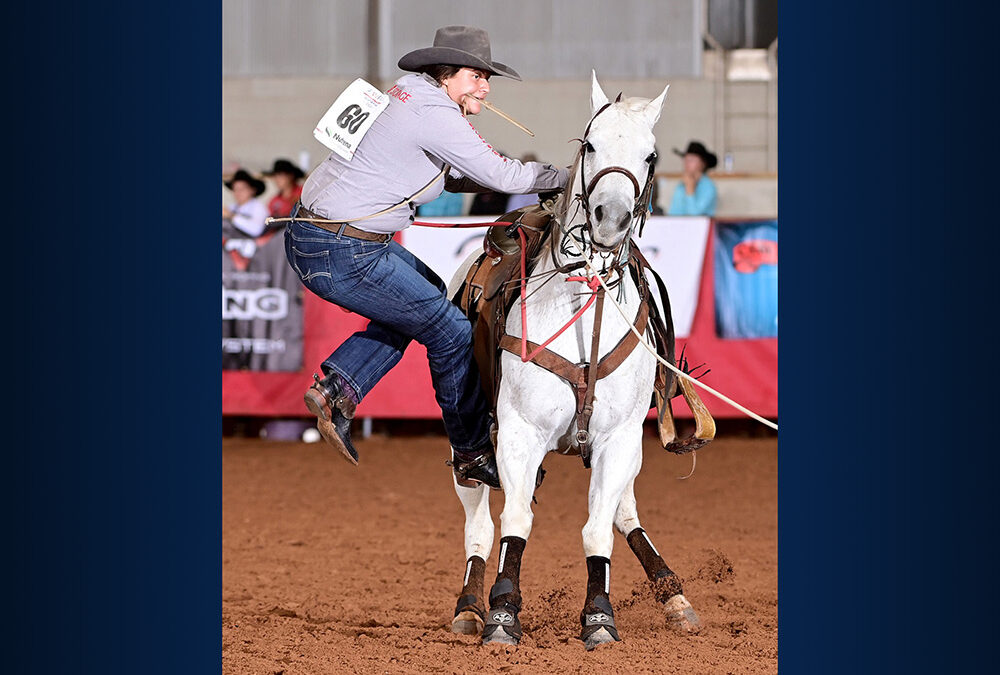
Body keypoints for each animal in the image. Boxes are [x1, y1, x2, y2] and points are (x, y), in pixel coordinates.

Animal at [450, 74, 700, 648]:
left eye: (650, 155)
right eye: (590, 146)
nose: (611, 219)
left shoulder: (621, 437)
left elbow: (598, 526)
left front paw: (600, 615)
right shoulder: (518, 432)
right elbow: (515, 521)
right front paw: (502, 613)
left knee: (624, 512)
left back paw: (673, 593)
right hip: (466, 441)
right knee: (479, 520)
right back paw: (470, 605)